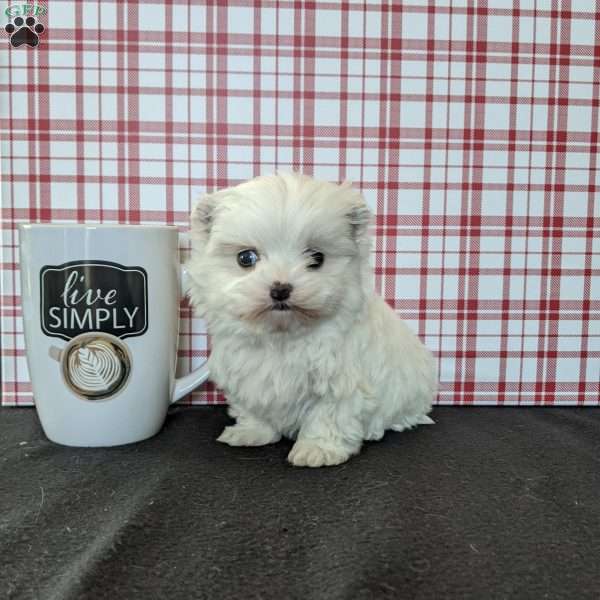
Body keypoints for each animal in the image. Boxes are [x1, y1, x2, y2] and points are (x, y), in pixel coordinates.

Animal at [188, 171, 436, 466]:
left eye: (317, 258)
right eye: (246, 258)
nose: (280, 289)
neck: (282, 337)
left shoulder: (340, 383)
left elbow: (328, 416)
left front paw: (318, 449)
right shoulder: (248, 377)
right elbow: (253, 408)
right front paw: (252, 432)